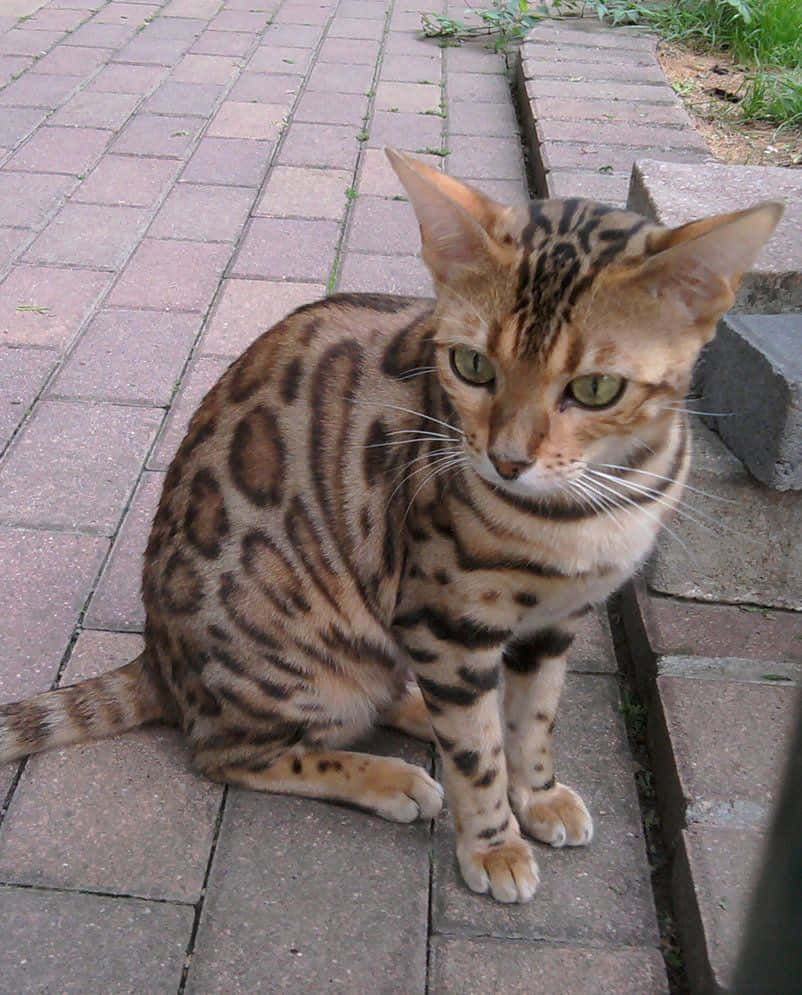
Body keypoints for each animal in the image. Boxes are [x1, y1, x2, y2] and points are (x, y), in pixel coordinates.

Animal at [0, 150, 780, 904]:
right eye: (471, 365)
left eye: (595, 388)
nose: (506, 460)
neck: (593, 505)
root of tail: (158, 659)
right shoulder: (446, 615)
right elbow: (477, 760)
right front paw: (494, 845)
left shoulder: (554, 623)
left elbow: (533, 722)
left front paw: (538, 792)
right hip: (312, 661)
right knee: (227, 750)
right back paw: (390, 777)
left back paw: (421, 711)